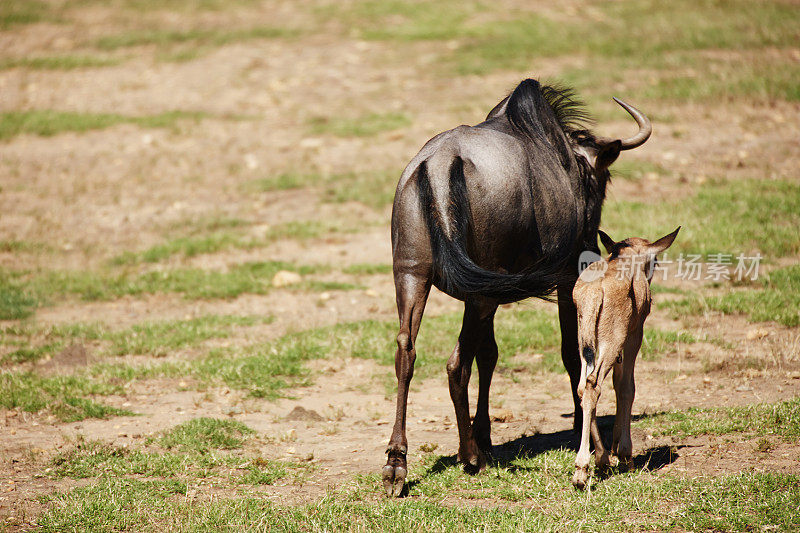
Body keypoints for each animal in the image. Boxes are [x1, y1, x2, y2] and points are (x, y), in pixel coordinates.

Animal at [572, 227, 680, 488]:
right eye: (655, 260)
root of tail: (594, 291)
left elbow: (617, 384)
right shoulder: (633, 336)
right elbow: (627, 388)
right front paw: (625, 454)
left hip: (585, 343)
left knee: (582, 387)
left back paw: (600, 459)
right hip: (611, 342)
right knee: (593, 386)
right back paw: (582, 470)